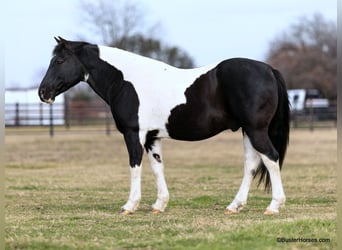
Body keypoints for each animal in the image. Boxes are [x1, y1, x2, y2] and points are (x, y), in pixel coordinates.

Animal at [38, 36, 290, 215]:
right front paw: (159, 205)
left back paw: (273, 206)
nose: (43, 93)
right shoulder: (152, 137)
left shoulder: (133, 134)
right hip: (248, 131)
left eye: (59, 61)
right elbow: (157, 167)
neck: (125, 81)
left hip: (256, 131)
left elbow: (135, 166)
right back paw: (234, 206)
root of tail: (269, 69)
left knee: (271, 158)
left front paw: (129, 206)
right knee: (251, 164)